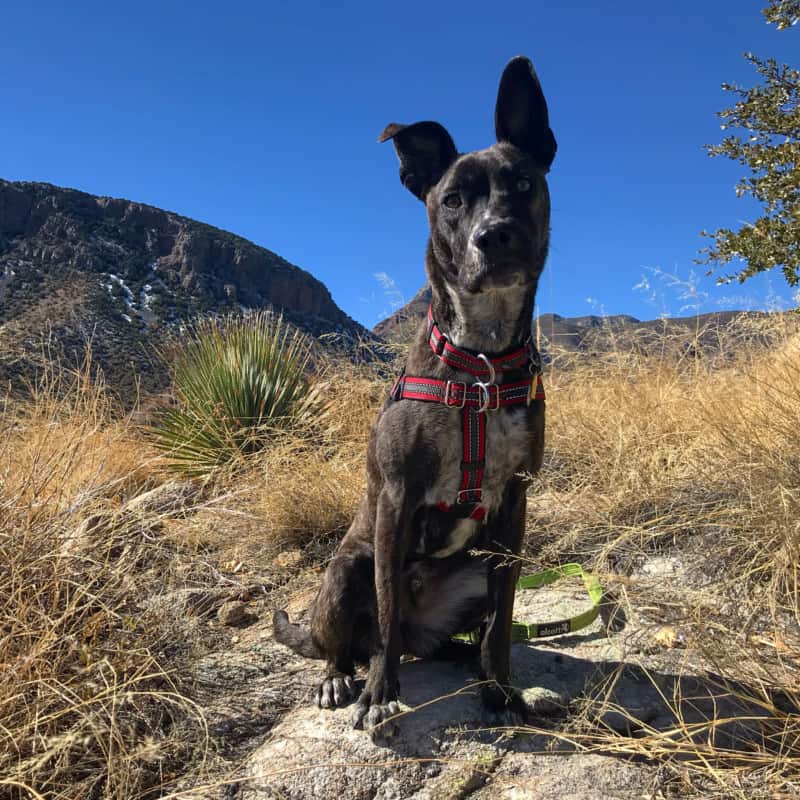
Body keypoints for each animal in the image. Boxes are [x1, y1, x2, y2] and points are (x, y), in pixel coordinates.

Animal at [276, 54, 556, 744]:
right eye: (452, 199)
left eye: (523, 182)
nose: (495, 235)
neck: (480, 361)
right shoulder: (397, 499)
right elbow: (383, 613)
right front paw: (380, 697)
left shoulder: (514, 507)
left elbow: (501, 627)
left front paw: (498, 691)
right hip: (345, 566)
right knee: (358, 640)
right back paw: (342, 676)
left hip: (473, 571)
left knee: (445, 636)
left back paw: (458, 658)